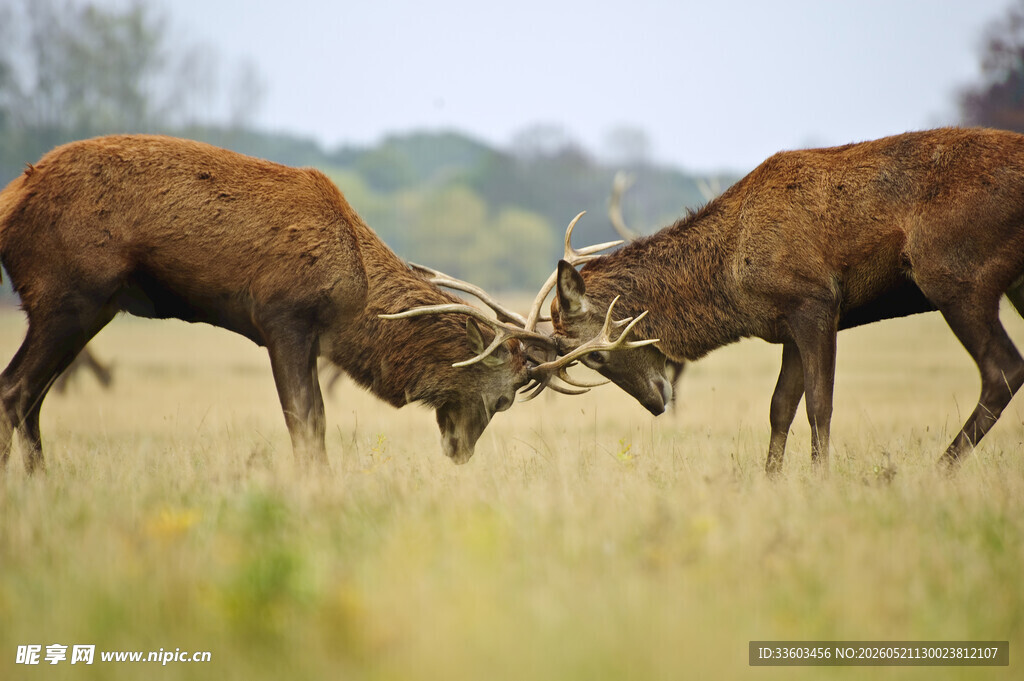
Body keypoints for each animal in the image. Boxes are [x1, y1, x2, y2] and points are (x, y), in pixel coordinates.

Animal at [0, 134, 652, 474]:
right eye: (504, 398)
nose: (459, 455)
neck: (356, 296)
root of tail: (12, 199)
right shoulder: (283, 317)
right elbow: (307, 420)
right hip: (70, 292)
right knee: (16, 389)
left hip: (86, 305)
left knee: (32, 396)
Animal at [547, 127, 1024, 475]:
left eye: (596, 357)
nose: (657, 404)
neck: (732, 274)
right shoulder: (788, 325)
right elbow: (780, 407)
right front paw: (771, 479)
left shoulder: (815, 302)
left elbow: (819, 404)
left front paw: (819, 479)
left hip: (955, 273)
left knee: (1003, 369)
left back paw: (937, 471)